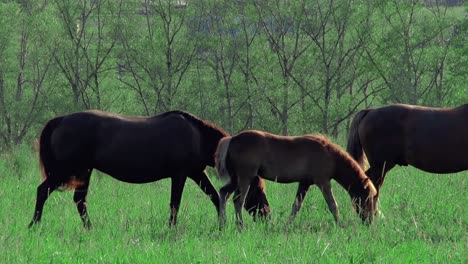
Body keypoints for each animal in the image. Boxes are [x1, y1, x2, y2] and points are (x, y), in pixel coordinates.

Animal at [29, 110, 268, 229]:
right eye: (258, 189)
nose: (266, 214)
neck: (197, 137)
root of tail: (60, 120)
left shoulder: (196, 173)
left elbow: (215, 198)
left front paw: (222, 224)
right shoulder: (180, 174)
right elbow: (175, 204)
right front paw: (171, 228)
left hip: (84, 171)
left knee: (80, 201)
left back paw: (90, 228)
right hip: (64, 170)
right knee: (42, 191)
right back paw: (35, 225)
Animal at [216, 130, 376, 229]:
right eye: (367, 198)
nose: (370, 221)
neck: (329, 155)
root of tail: (231, 140)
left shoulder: (305, 183)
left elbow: (296, 206)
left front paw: (287, 226)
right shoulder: (323, 182)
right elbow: (332, 205)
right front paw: (340, 224)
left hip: (235, 179)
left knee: (223, 193)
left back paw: (222, 225)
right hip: (245, 178)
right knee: (238, 200)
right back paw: (240, 226)